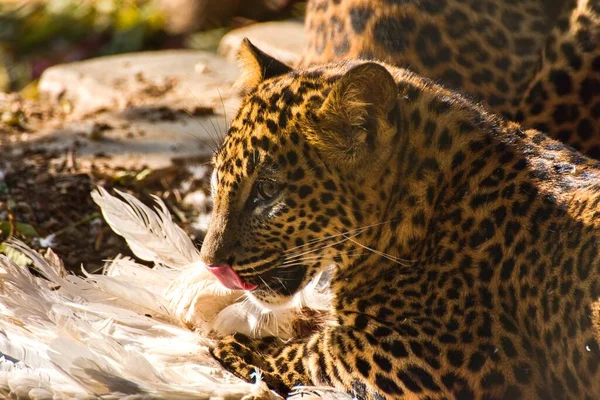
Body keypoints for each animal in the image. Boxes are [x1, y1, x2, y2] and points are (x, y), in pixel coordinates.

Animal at [200, 38, 600, 400]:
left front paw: (240, 348)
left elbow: (318, 352)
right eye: (217, 177)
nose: (209, 263)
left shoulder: (444, 356)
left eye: (267, 190)